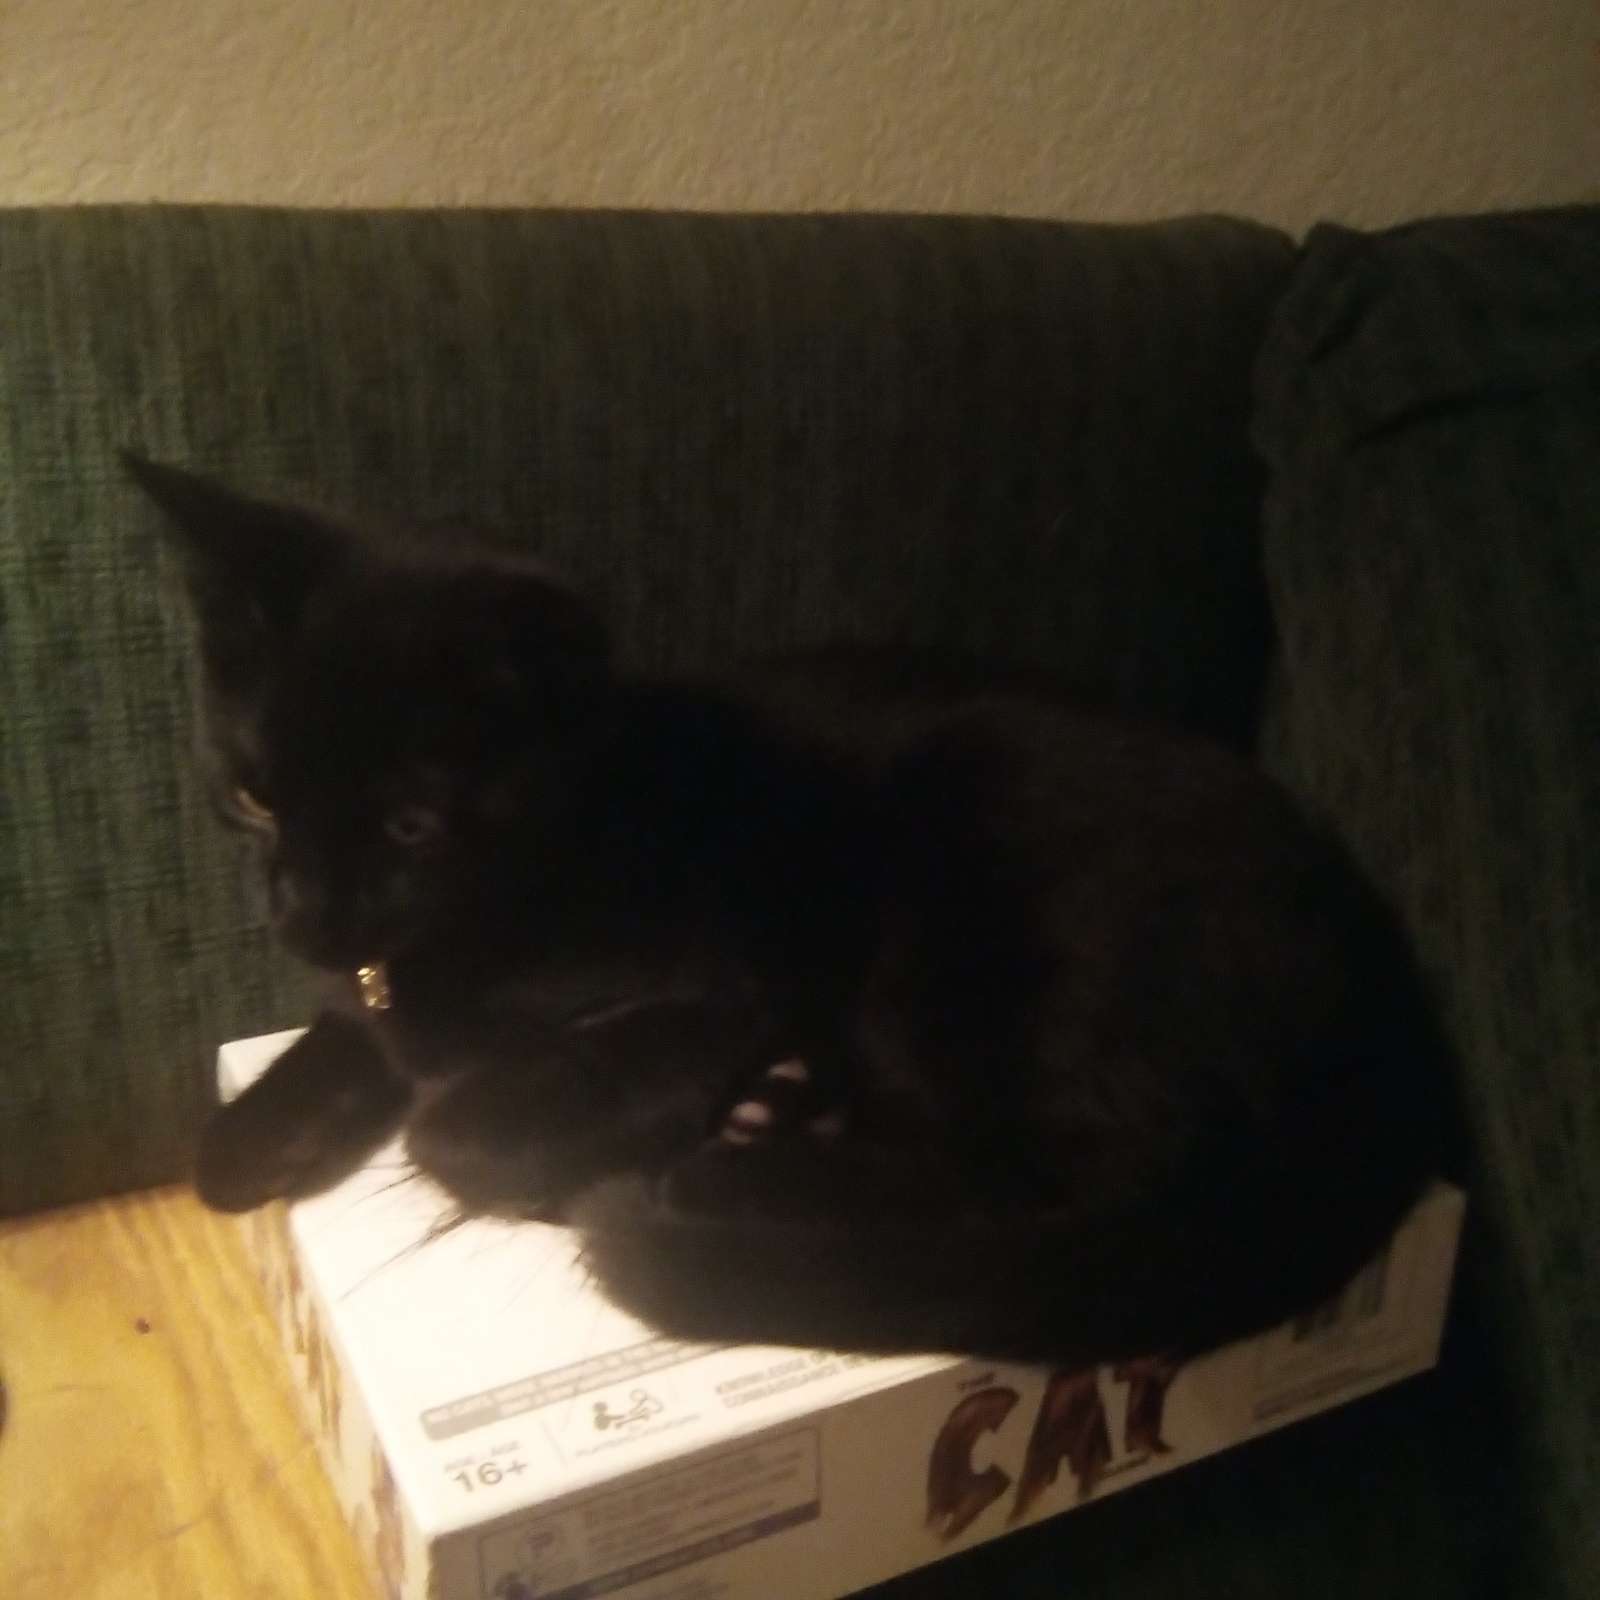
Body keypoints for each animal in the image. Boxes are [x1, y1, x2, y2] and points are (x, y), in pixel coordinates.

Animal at [127, 453, 1445, 1366]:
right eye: (253, 794)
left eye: (411, 824)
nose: (301, 918)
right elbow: (351, 1041)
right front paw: (253, 1135)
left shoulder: (723, 996)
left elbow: (450, 1128)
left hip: (971, 901)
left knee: (1074, 1175)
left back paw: (735, 1172)